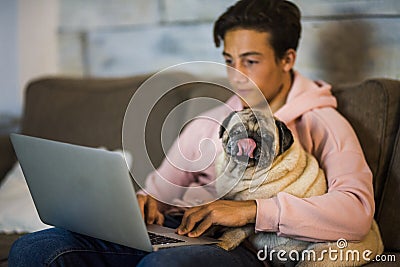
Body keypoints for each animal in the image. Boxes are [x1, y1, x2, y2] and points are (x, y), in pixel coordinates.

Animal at [214, 109, 382, 267]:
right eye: (237, 132)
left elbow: (236, 230)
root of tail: (376, 241)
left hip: (317, 256)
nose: (250, 139)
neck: (240, 173)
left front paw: (223, 243)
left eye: (267, 138)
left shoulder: (251, 218)